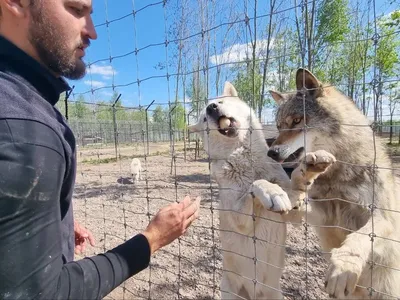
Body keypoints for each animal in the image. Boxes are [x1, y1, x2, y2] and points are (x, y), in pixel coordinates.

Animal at [268, 68, 400, 300]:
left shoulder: (384, 218)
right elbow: (299, 199)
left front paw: (342, 268)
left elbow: (361, 236)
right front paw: (297, 186)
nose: (272, 152)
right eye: (279, 126)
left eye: (296, 120)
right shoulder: (325, 217)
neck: (338, 175)